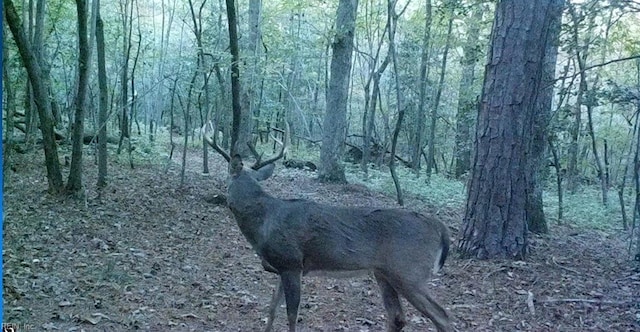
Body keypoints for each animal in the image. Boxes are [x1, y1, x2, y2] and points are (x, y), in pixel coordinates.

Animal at [202, 122, 452, 332]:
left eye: (226, 179)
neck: (264, 223)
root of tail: (439, 226)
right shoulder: (283, 267)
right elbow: (272, 309)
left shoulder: (292, 263)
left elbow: (292, 315)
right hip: (384, 273)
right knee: (397, 317)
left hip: (409, 271)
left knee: (442, 316)